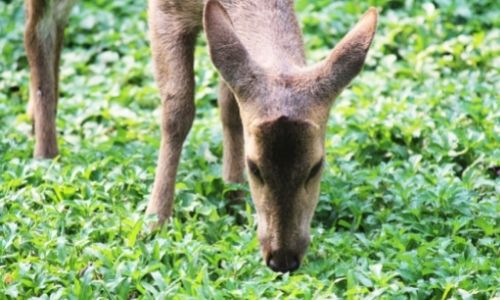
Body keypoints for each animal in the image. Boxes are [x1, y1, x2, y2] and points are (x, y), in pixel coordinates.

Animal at [24, 0, 376, 274]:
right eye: (255, 167)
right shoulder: (164, 10)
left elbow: (228, 105)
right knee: (38, 27)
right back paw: (45, 152)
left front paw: (233, 196)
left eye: (316, 166)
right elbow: (178, 110)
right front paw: (154, 221)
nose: (282, 259)